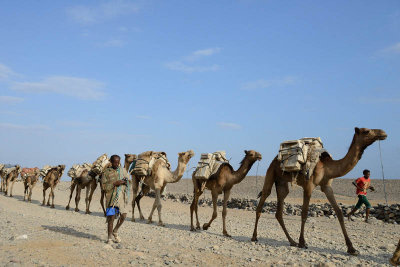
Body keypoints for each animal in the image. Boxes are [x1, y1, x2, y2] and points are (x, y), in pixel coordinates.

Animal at [252, 129, 386, 256]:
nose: (383, 133)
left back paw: (292, 241)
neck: (327, 167)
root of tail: (276, 158)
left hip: (281, 183)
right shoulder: (309, 185)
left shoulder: (327, 186)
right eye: (367, 131)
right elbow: (304, 213)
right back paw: (254, 237)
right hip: (271, 172)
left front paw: (352, 249)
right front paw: (302, 242)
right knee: (263, 199)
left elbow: (339, 212)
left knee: (279, 210)